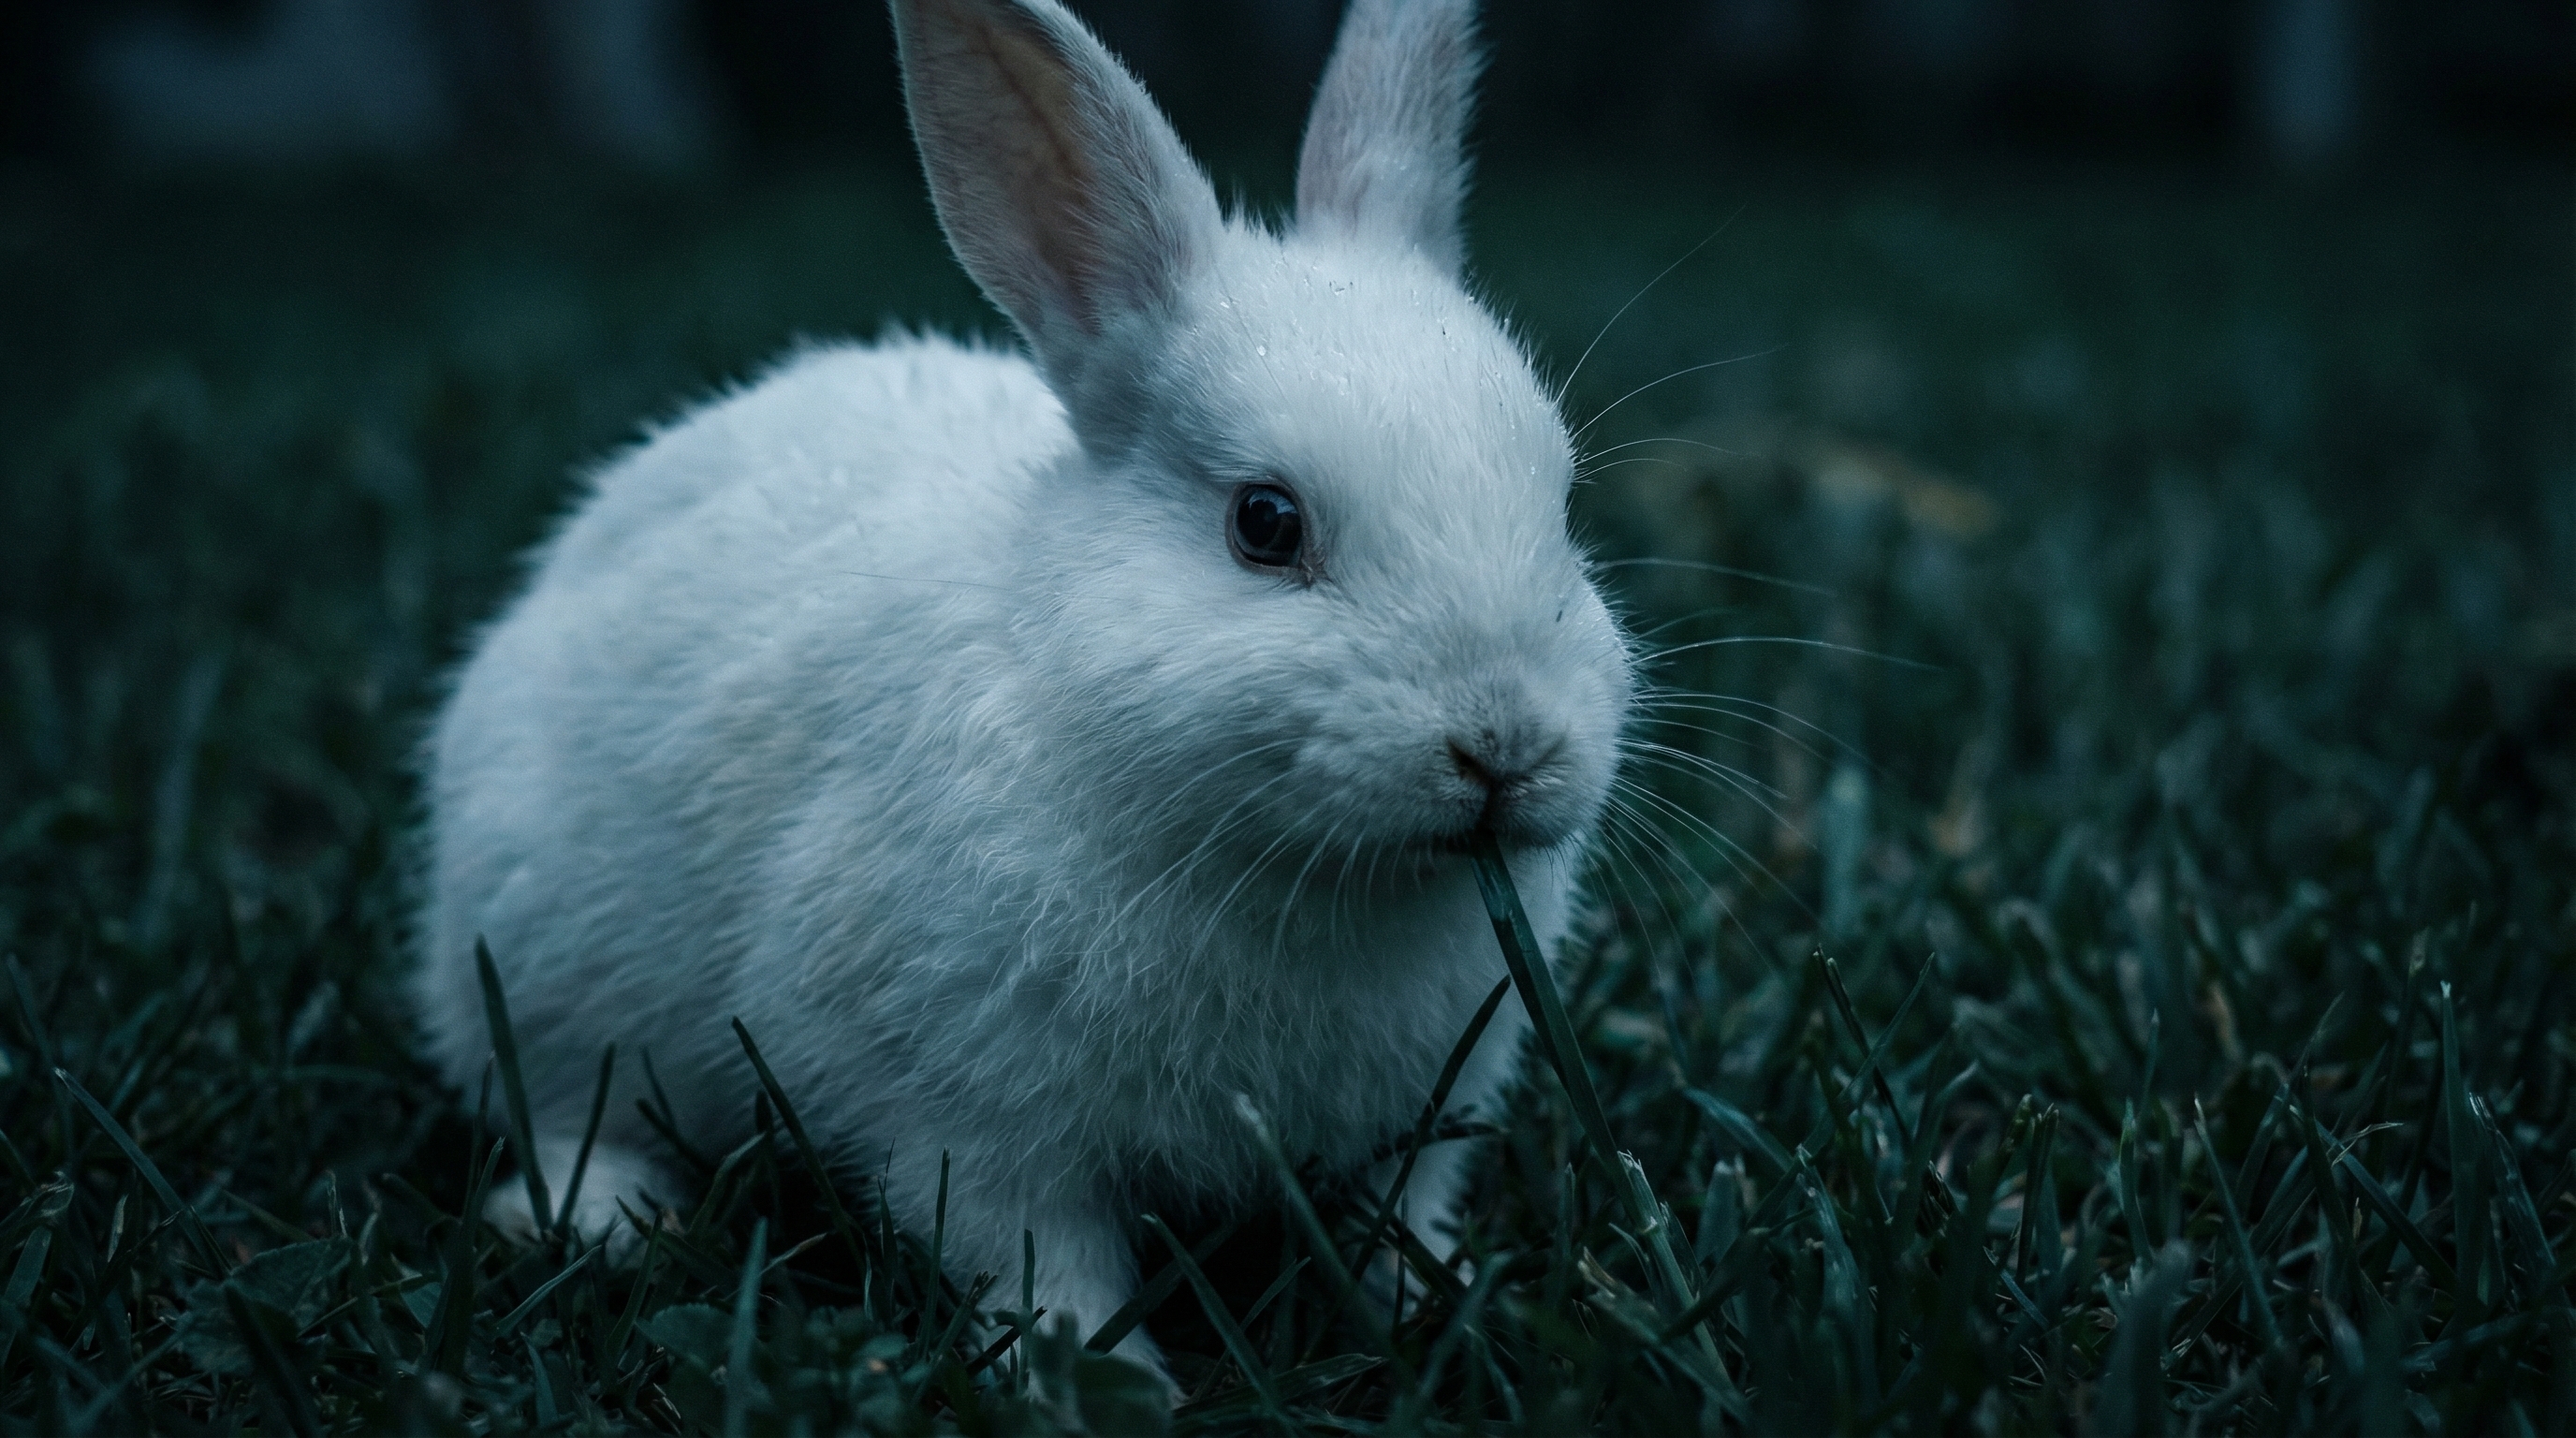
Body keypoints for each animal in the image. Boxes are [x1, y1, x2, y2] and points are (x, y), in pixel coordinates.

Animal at [412, 0, 1633, 1376]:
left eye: (1562, 502)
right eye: (1265, 525)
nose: (1505, 746)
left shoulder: (1417, 1128)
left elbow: (1399, 1223)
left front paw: (1440, 1308)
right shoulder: (973, 1119)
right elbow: (1041, 1254)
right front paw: (1099, 1375)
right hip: (539, 969)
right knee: (568, 1109)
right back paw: (599, 1220)